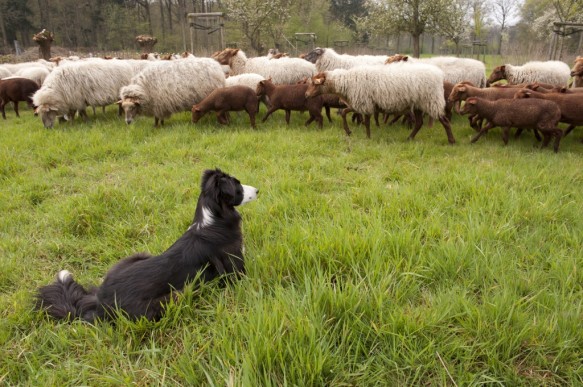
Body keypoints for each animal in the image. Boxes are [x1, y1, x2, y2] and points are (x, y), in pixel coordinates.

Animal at [34, 168, 258, 322]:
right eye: (238, 186)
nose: (257, 190)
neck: (214, 219)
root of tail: (99, 301)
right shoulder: (234, 266)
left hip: (139, 255)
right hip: (171, 297)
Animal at [306, 62, 456, 144]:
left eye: (315, 83)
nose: (306, 95)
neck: (347, 82)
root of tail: (438, 74)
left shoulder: (364, 102)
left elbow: (366, 122)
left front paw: (367, 137)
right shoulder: (359, 103)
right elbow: (344, 113)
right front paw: (349, 131)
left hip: (431, 101)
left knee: (445, 121)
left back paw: (451, 141)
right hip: (420, 104)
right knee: (419, 123)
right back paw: (409, 138)